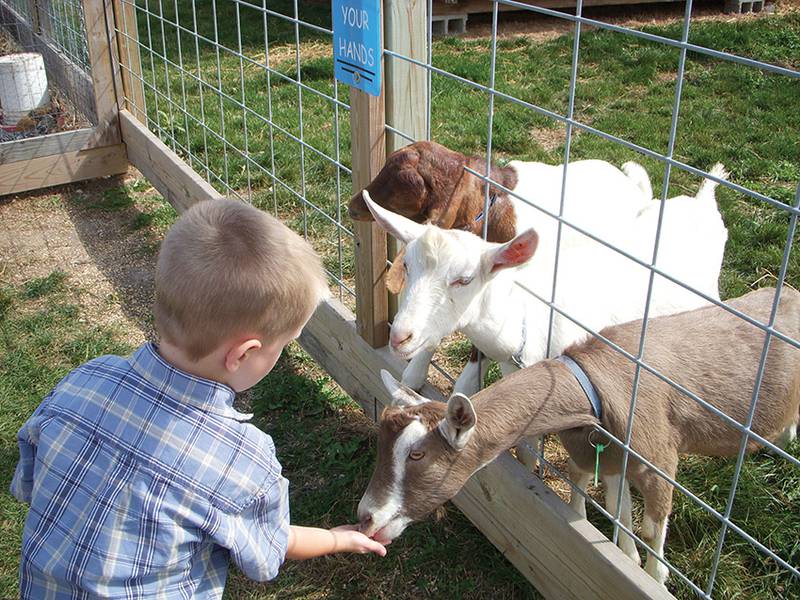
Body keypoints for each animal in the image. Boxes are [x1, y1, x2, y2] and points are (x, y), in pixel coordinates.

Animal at [358, 288, 800, 584]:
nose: (366, 516)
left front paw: (654, 577)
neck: (592, 385)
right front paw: (626, 557)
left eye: (418, 455)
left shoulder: (658, 460)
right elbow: (608, 506)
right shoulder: (599, 455)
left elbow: (652, 528)